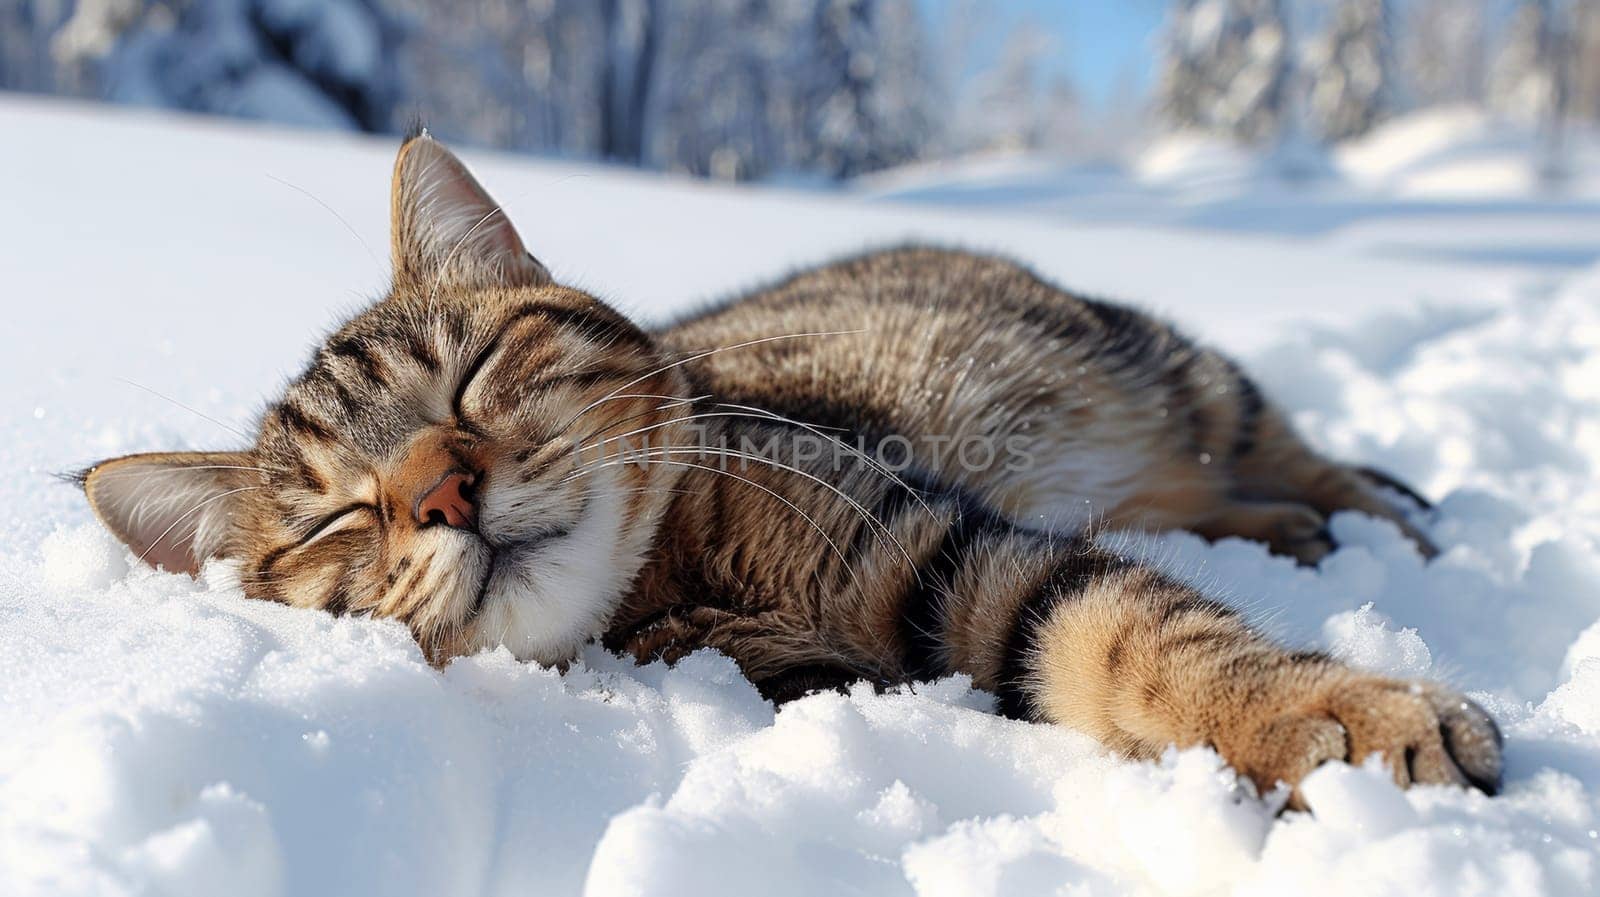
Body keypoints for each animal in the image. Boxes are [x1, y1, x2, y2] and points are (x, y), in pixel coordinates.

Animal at [75, 134, 1497, 805]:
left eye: (468, 375)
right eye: (336, 521)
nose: (438, 492)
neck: (669, 580)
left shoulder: (946, 550)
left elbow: (1146, 636)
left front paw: (1345, 718)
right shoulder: (856, 646)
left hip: (1182, 381)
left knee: (1285, 455)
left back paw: (1374, 523)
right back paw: (1296, 536)